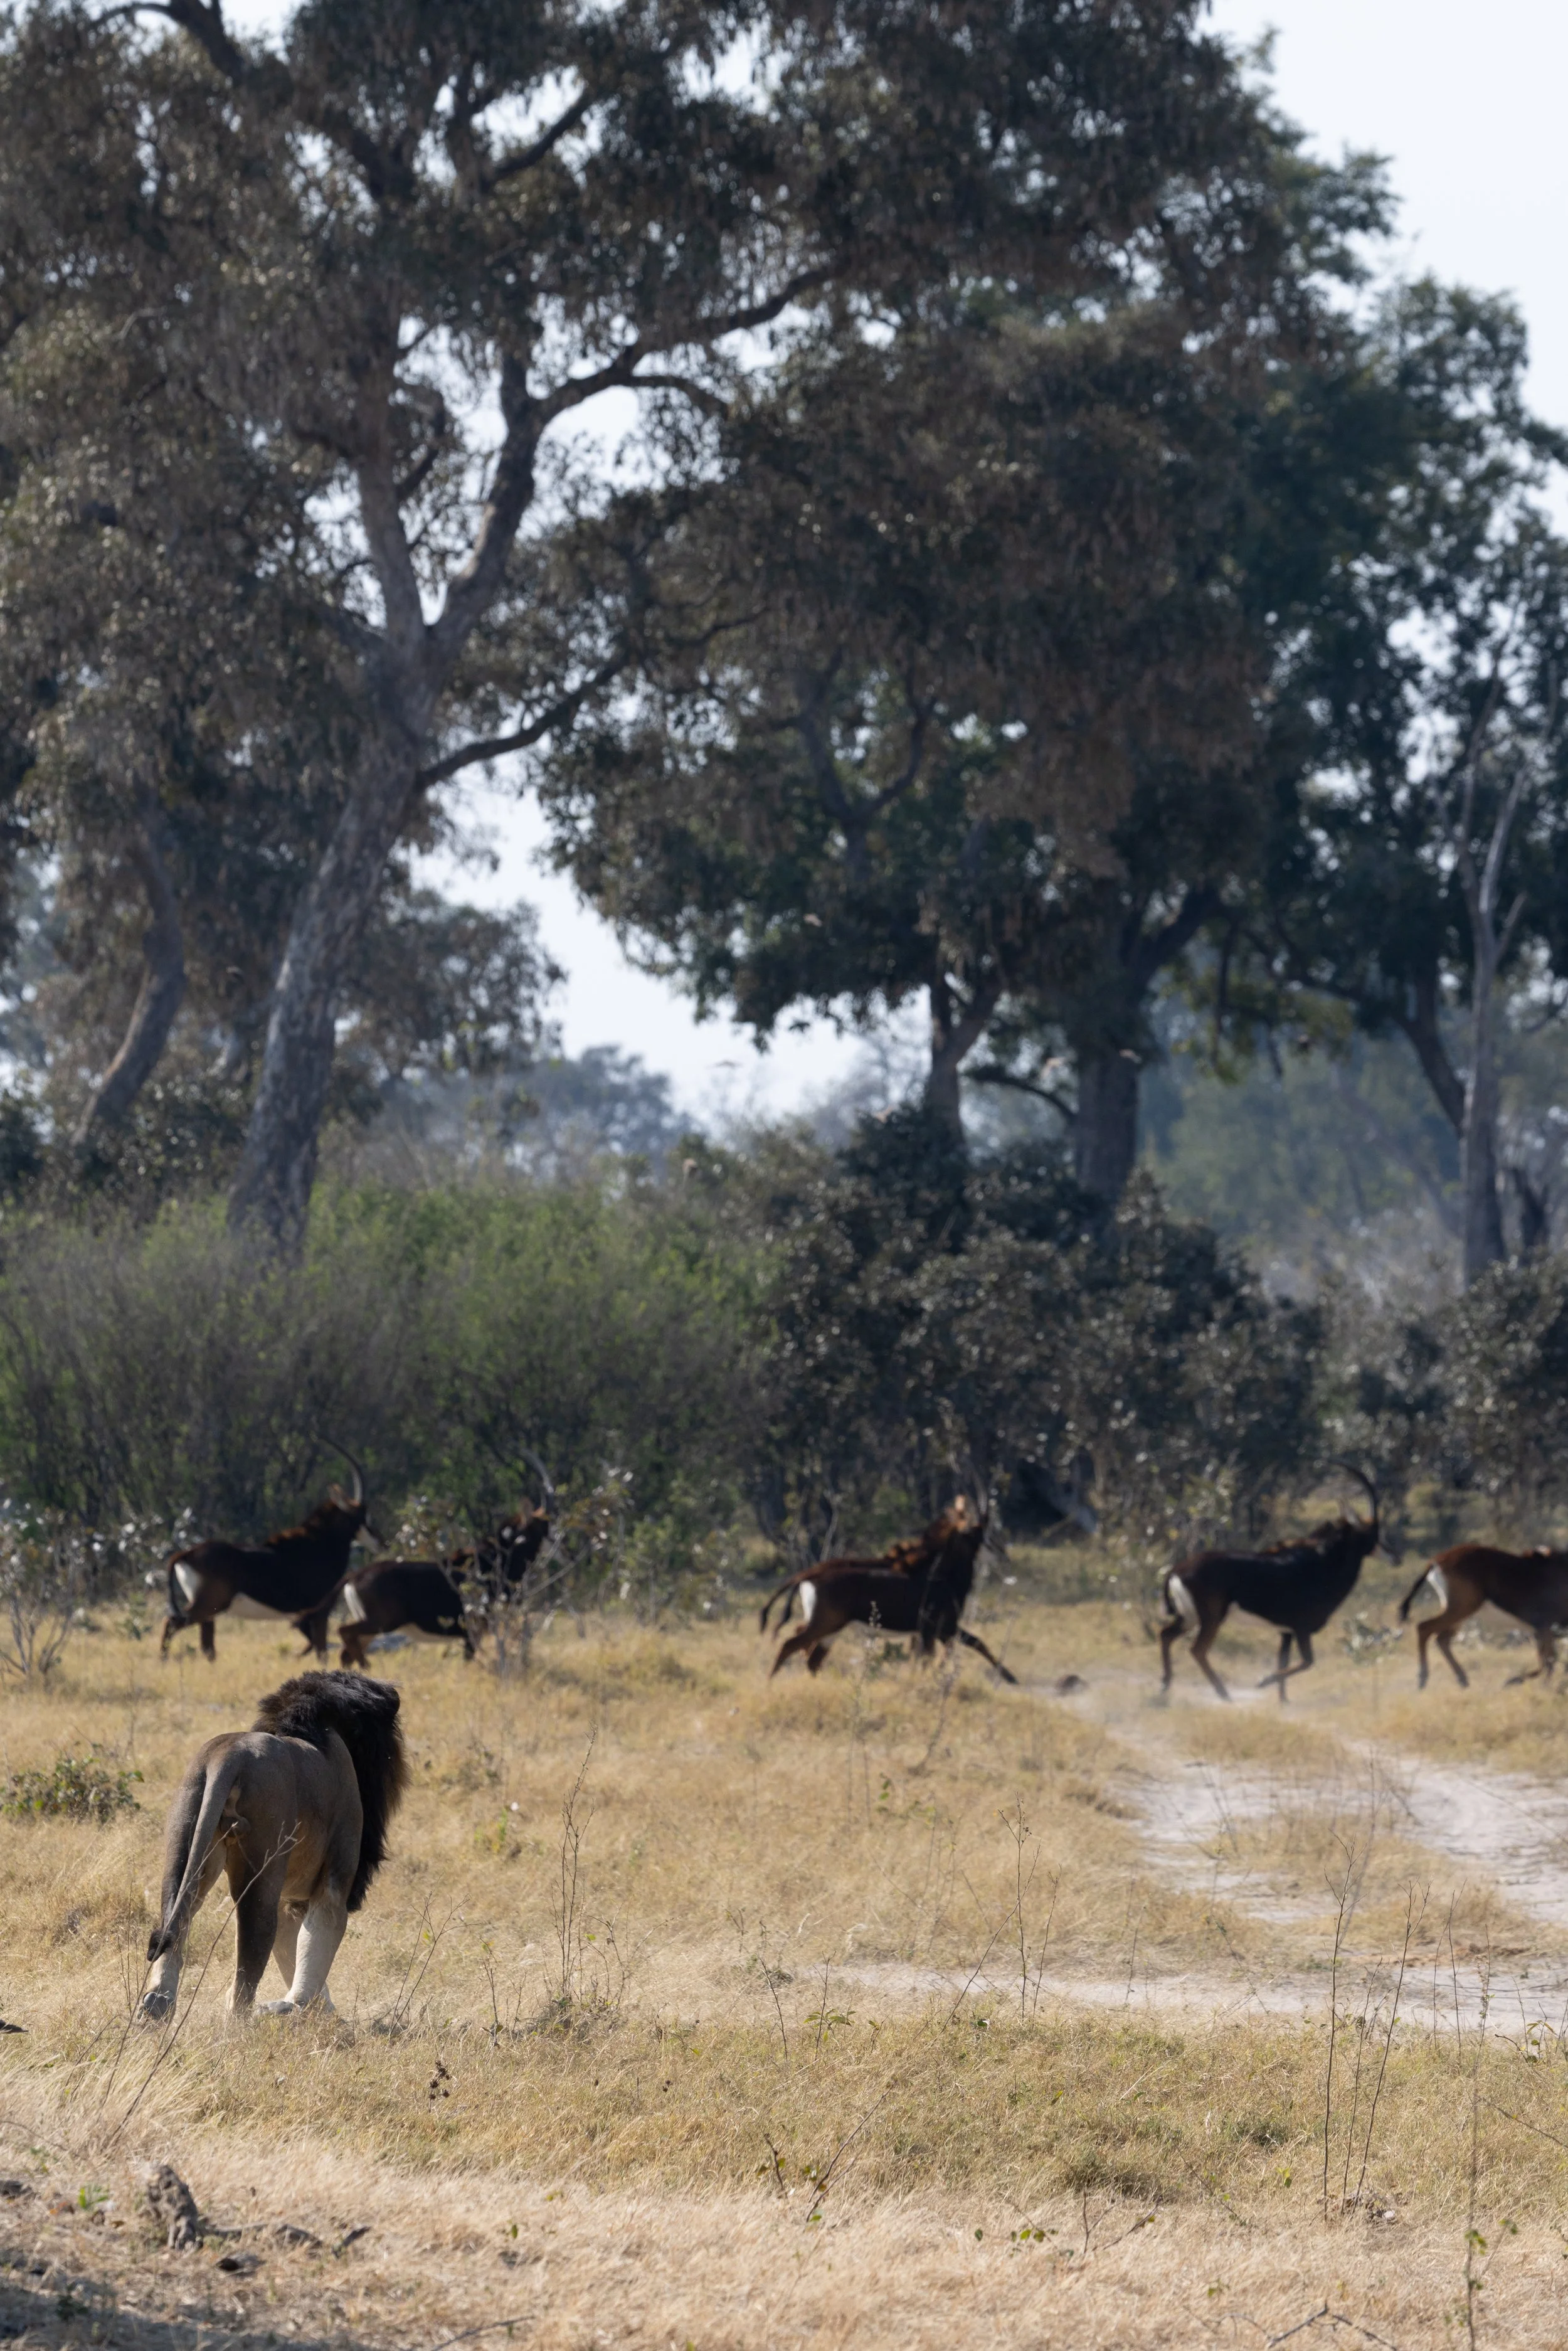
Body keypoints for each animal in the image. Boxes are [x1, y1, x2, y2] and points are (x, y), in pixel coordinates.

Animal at [139, 1670, 407, 2024]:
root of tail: (229, 1756)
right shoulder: (337, 1874)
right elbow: (317, 1937)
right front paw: (305, 2007)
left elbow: (293, 1947)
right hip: (262, 1863)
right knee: (251, 1953)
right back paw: (240, 2023)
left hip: (187, 1834)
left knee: (175, 1919)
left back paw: (156, 2007)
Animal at [161, 1446, 370, 1662]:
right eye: (362, 1516)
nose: (378, 1540)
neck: (320, 1545)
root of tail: (187, 1553)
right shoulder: (318, 1611)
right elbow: (320, 1648)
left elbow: (314, 1644)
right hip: (210, 1604)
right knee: (173, 1623)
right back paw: (164, 1660)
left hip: (210, 1610)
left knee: (206, 1643)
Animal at [1158, 1466, 1382, 1702]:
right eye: (1373, 1533)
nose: (1391, 1555)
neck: (1321, 1564)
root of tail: (1177, 1569)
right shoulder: (1301, 1628)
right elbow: (1307, 1662)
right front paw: (1263, 1681)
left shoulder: (1286, 1632)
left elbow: (1284, 1661)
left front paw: (1283, 1700)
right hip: (1211, 1618)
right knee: (1197, 1649)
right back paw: (1223, 1693)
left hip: (1190, 1617)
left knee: (1166, 1635)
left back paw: (1165, 1685)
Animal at [1399, 1544, 1568, 1688]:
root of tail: (1436, 1561)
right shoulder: (1543, 1627)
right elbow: (1549, 1661)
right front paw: (1515, 1682)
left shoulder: (1540, 1631)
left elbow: (1548, 1661)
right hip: (1461, 1609)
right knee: (1425, 1628)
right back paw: (1423, 1678)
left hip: (1457, 1613)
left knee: (1442, 1639)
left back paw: (1462, 1679)